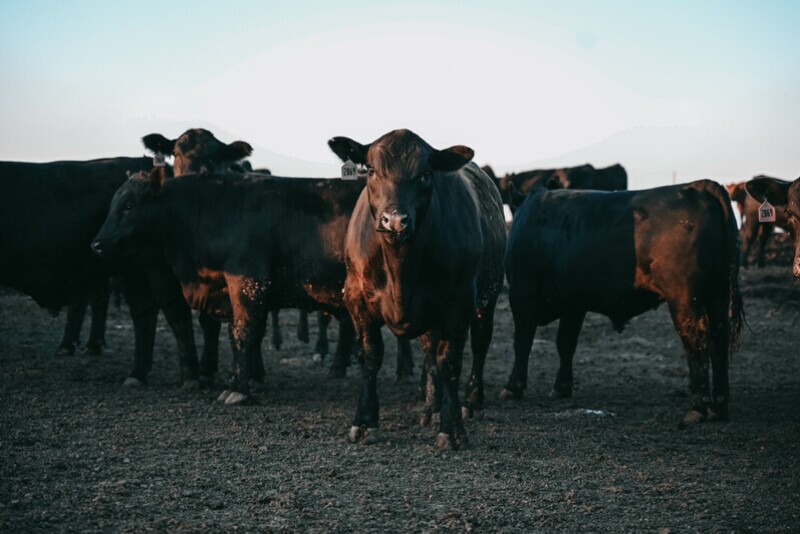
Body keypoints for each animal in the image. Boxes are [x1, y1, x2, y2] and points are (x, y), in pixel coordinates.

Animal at [329, 129, 507, 450]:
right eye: (371, 170)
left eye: (425, 174)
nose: (395, 220)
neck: (401, 266)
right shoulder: (356, 298)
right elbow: (371, 356)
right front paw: (364, 421)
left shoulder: (460, 302)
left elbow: (450, 362)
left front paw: (452, 429)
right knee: (429, 352)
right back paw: (431, 410)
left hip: (489, 294)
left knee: (480, 344)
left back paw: (472, 402)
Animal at [500, 179, 744, 423]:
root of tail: (696, 186)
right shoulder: (574, 304)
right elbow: (565, 343)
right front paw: (562, 387)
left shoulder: (522, 296)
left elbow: (522, 342)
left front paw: (513, 387)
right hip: (718, 293)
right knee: (718, 338)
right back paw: (719, 407)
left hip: (684, 296)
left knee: (696, 337)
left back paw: (697, 408)